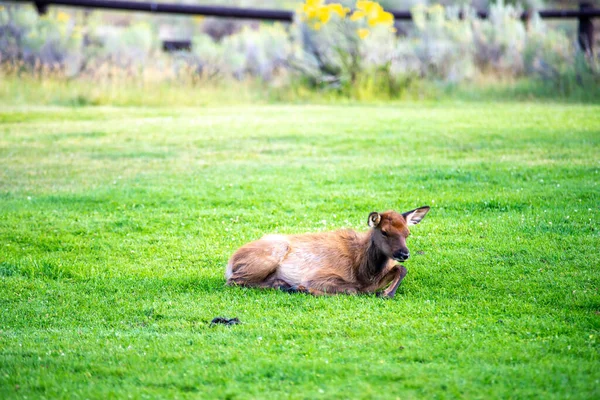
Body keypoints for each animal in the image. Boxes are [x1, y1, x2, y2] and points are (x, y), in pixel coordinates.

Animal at [226, 206, 432, 296]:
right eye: (384, 231)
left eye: (407, 233)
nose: (404, 254)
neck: (364, 271)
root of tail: (230, 262)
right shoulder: (319, 276)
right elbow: (351, 290)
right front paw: (303, 288)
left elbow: (401, 269)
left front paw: (387, 292)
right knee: (234, 281)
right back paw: (284, 285)